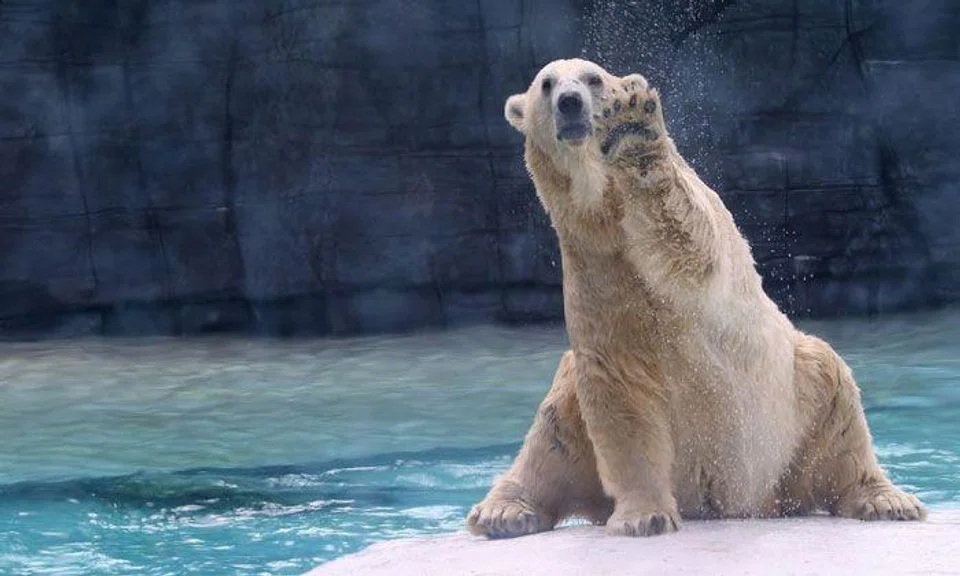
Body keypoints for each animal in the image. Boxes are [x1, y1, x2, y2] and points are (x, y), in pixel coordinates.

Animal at [466, 58, 926, 538]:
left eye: (593, 79)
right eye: (547, 85)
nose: (570, 103)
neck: (607, 215)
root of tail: (749, 504)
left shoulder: (687, 230)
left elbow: (689, 241)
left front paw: (632, 125)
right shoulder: (596, 269)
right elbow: (619, 388)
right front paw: (644, 517)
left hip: (794, 405)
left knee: (835, 401)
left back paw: (885, 500)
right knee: (554, 427)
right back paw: (503, 512)